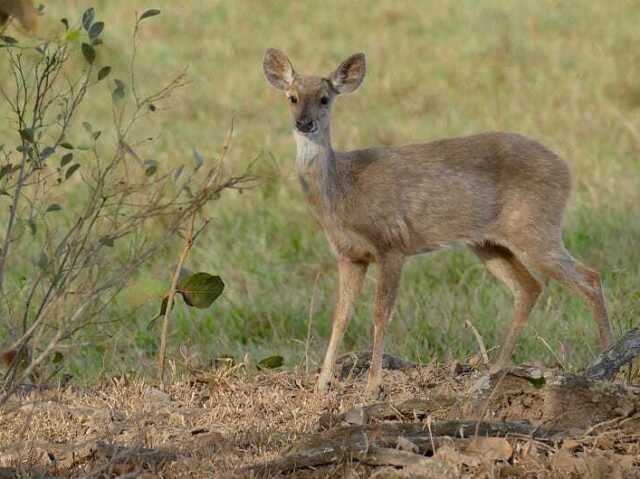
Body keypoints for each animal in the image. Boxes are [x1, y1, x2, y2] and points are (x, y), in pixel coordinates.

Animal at [262, 48, 616, 400]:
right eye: (292, 97)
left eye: (324, 98)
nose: (304, 123)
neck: (343, 191)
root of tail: (566, 170)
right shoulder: (350, 255)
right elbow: (340, 314)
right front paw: (322, 383)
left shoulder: (391, 244)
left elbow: (380, 312)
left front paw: (373, 386)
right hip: (490, 243)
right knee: (529, 287)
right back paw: (496, 370)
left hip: (536, 226)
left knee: (589, 277)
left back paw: (608, 365)